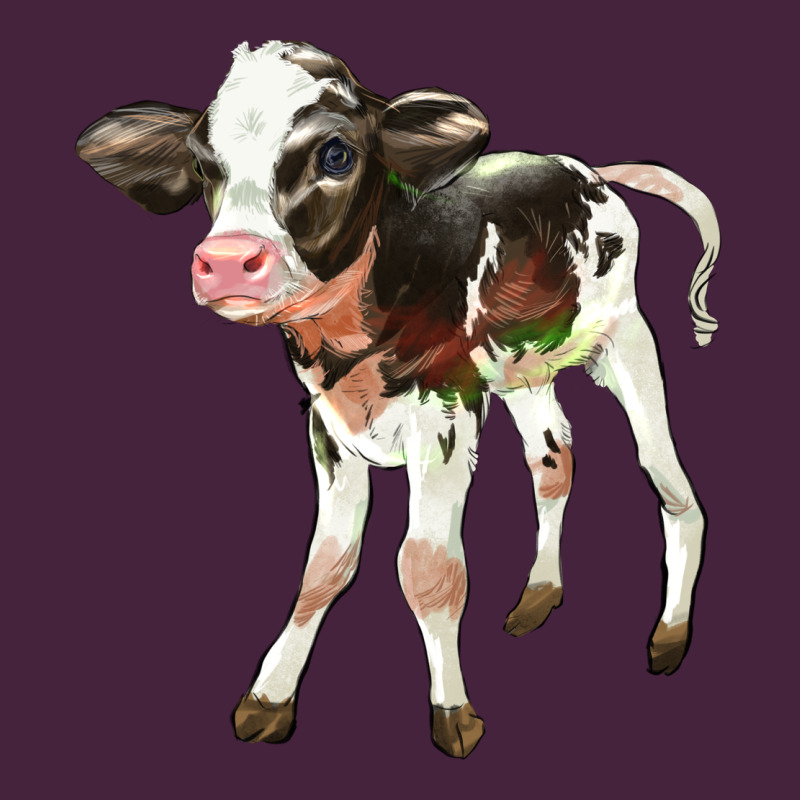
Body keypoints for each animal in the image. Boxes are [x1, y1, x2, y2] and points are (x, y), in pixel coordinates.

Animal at [76, 40, 720, 758]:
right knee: (553, 462)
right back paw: (539, 593)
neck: (349, 345)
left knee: (668, 482)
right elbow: (323, 568)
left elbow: (426, 570)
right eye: (201, 162)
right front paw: (269, 697)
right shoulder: (328, 429)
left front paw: (453, 713)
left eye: (336, 154)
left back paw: (670, 634)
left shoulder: (445, 416)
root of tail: (579, 166)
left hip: (623, 335)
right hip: (521, 368)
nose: (226, 261)